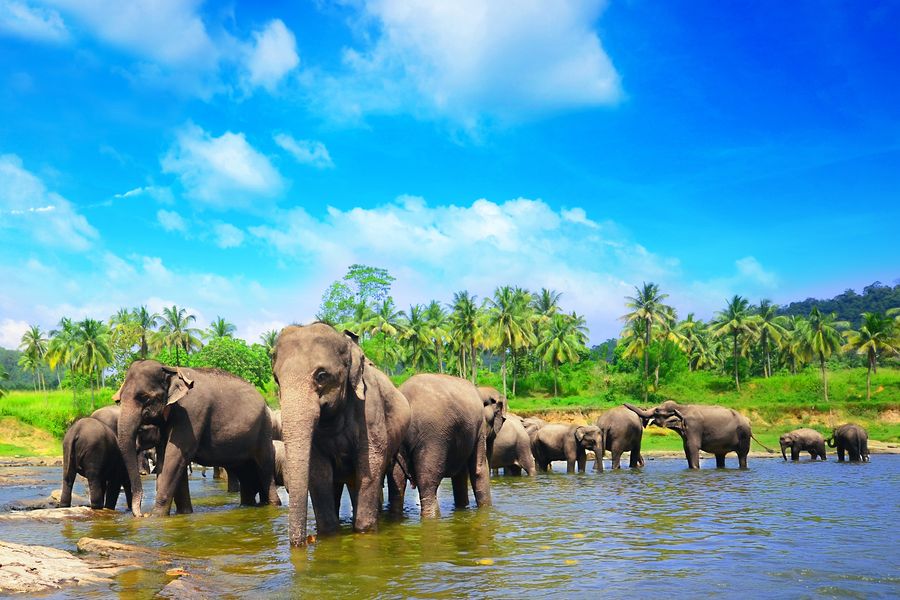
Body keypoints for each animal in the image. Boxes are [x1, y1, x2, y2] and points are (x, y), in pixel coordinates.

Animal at [115, 360, 280, 517]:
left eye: (145, 397)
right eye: (119, 400)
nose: (141, 514)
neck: (170, 370)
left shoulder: (191, 412)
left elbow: (176, 456)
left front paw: (155, 517)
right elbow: (165, 458)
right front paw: (183, 513)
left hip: (264, 429)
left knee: (264, 468)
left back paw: (274, 505)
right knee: (245, 473)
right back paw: (248, 506)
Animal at [272, 323, 411, 547]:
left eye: (321, 376)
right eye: (276, 379)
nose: (306, 541)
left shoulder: (370, 410)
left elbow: (370, 465)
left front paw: (364, 531)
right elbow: (319, 472)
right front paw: (328, 534)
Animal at [625, 401, 756, 469]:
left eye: (657, 410)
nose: (624, 404)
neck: (682, 407)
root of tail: (747, 420)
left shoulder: (693, 427)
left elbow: (692, 447)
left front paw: (695, 469)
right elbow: (686, 448)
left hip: (744, 435)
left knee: (742, 455)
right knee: (720, 455)